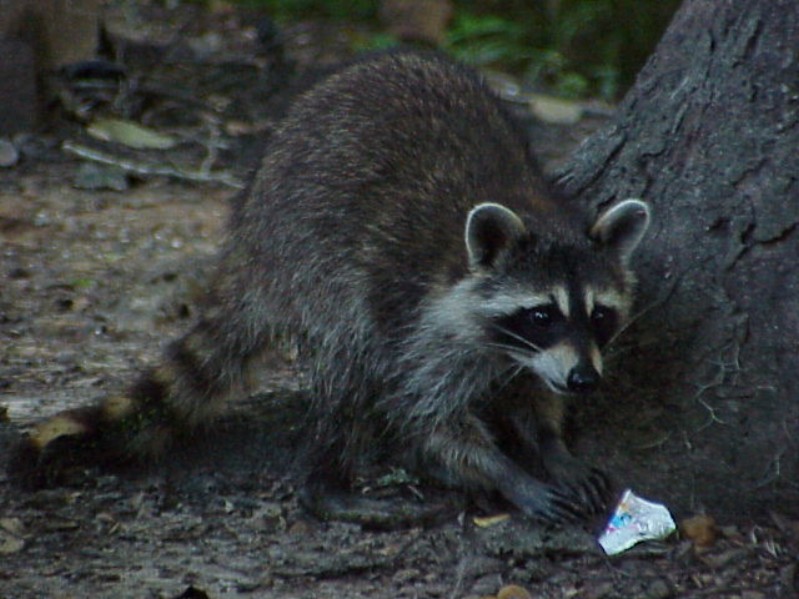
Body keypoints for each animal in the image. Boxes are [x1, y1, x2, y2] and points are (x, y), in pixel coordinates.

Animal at [10, 51, 648, 528]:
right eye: (541, 314)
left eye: (599, 315)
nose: (585, 380)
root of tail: (248, 244)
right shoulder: (418, 321)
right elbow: (426, 416)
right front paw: (504, 473)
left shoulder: (532, 354)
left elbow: (533, 395)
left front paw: (551, 448)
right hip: (312, 268)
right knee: (348, 366)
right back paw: (328, 483)